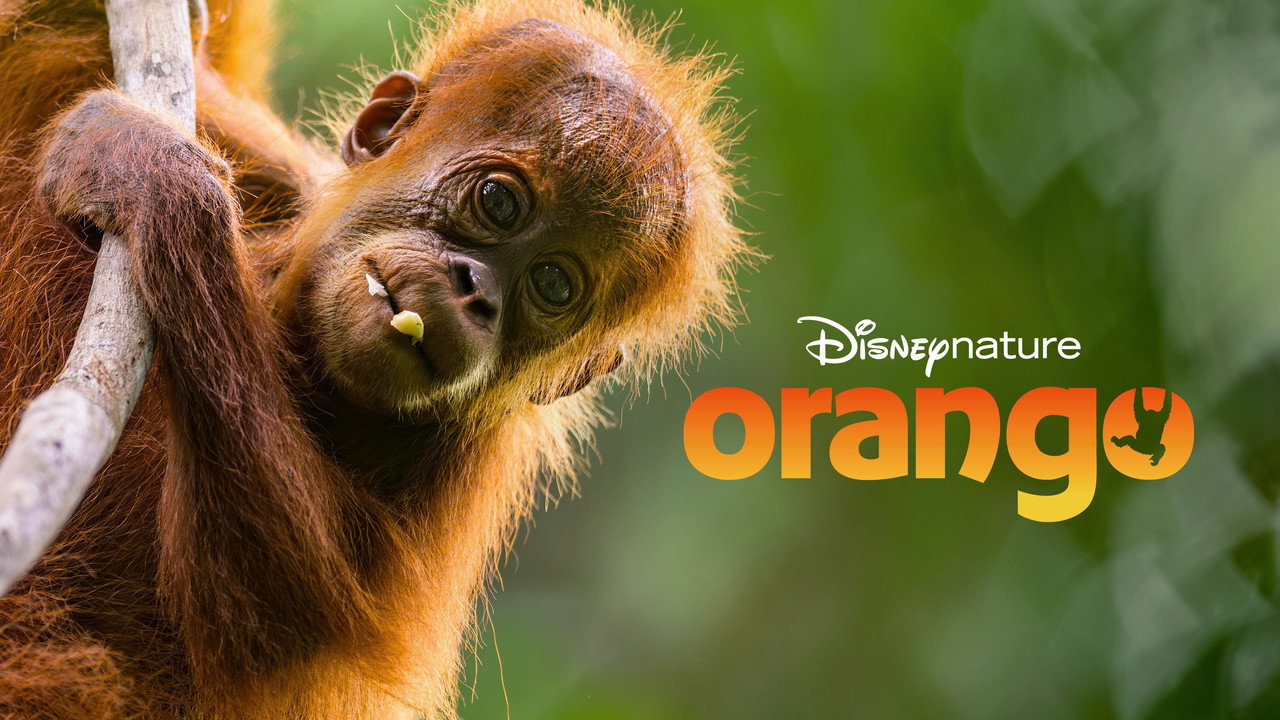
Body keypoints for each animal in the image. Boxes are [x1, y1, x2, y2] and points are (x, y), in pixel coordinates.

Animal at [0, 0, 750, 718]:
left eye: (554, 284)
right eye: (499, 201)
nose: (476, 293)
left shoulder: (456, 473)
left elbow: (271, 615)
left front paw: (152, 177)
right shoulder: (279, 177)